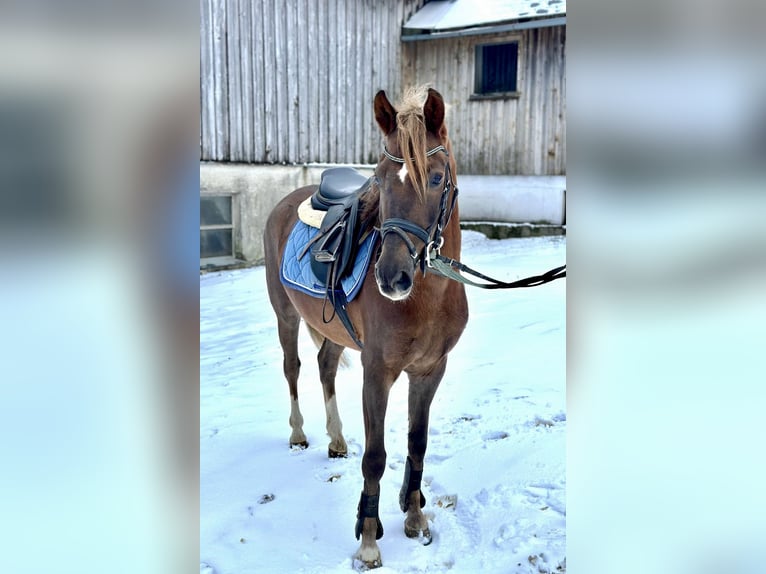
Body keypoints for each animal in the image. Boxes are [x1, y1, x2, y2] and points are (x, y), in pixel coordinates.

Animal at [264, 88, 468, 568]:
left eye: (436, 178)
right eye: (379, 178)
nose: (392, 278)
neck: (428, 297)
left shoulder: (429, 371)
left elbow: (417, 444)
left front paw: (414, 517)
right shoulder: (377, 373)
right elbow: (375, 457)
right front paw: (370, 541)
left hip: (337, 336)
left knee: (324, 365)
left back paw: (337, 439)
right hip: (285, 315)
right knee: (293, 367)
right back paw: (299, 433)